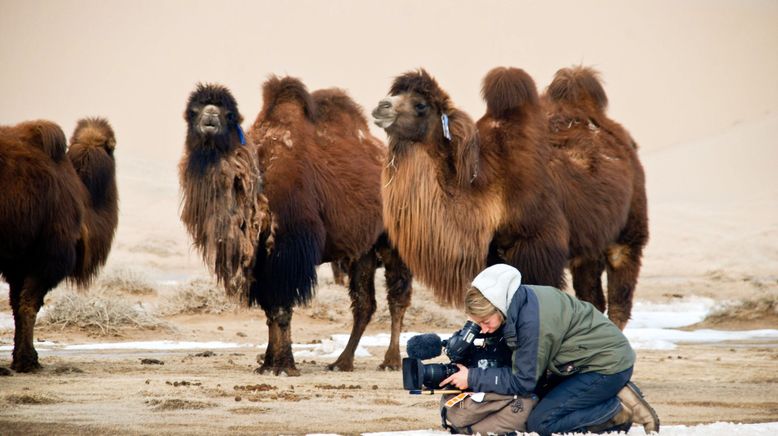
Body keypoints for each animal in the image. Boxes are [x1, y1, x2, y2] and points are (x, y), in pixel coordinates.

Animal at [0, 118, 118, 372]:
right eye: (110, 144)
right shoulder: (48, 257)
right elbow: (29, 304)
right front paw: (28, 360)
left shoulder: (18, 263)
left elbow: (15, 305)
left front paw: (20, 358)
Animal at [180, 81, 412, 374]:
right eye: (193, 110)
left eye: (229, 114)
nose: (210, 117)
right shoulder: (262, 262)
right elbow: (270, 311)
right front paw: (267, 363)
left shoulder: (288, 251)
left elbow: (281, 309)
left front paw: (284, 366)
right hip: (364, 251)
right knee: (364, 303)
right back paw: (342, 361)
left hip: (394, 241)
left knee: (397, 298)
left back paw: (390, 361)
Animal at [372, 67, 644, 328]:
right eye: (395, 94)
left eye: (421, 105)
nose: (381, 106)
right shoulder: (493, 250)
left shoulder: (539, 244)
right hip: (587, 246)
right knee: (592, 296)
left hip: (628, 231)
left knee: (620, 296)